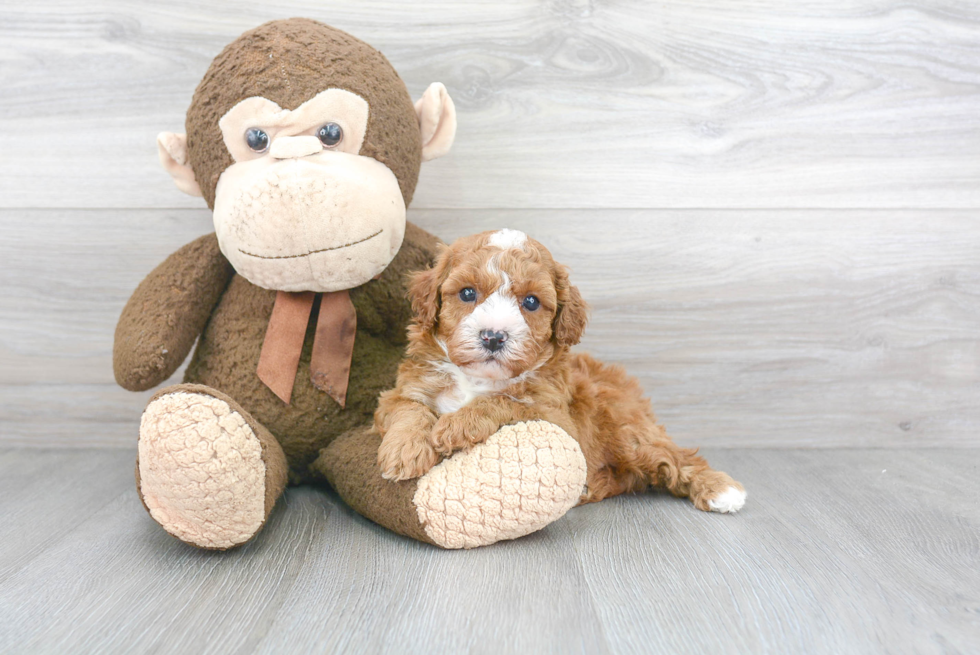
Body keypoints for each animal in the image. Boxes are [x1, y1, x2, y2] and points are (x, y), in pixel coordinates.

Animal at [378, 228, 748, 516]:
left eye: (530, 302)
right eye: (468, 293)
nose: (493, 336)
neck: (479, 378)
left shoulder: (554, 416)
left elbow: (506, 401)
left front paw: (458, 424)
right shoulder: (402, 390)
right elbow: (409, 410)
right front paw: (405, 451)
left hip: (627, 430)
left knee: (676, 456)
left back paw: (721, 489)